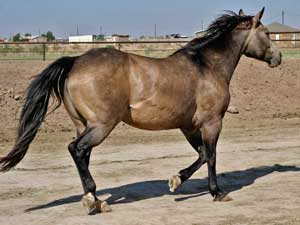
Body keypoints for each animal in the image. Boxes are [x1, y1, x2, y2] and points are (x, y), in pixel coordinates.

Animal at [0, 8, 282, 214]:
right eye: (267, 32)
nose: (277, 58)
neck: (207, 66)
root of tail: (74, 62)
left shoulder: (189, 126)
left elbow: (201, 155)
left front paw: (176, 180)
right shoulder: (212, 122)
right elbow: (211, 156)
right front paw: (217, 193)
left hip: (84, 124)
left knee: (83, 154)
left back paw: (93, 199)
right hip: (101, 125)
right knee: (76, 149)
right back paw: (94, 200)